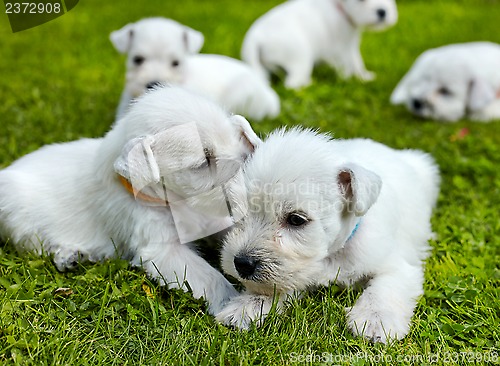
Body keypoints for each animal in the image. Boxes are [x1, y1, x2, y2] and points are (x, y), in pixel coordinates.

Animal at [0, 86, 262, 314]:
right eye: (204, 161)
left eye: (235, 138)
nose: (250, 160)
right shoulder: (162, 250)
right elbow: (209, 277)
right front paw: (231, 302)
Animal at [217, 129, 440, 344]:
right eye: (238, 211)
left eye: (296, 219)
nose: (242, 264)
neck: (333, 255)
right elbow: (275, 285)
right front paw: (246, 306)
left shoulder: (396, 264)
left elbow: (385, 287)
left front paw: (376, 319)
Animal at [242, 0, 398, 89]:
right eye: (361, 0)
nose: (382, 11)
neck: (338, 5)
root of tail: (254, 38)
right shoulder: (343, 47)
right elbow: (353, 63)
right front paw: (356, 78)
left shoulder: (349, 45)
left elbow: (355, 62)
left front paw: (364, 76)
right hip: (301, 58)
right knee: (292, 83)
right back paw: (308, 84)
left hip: (265, 67)